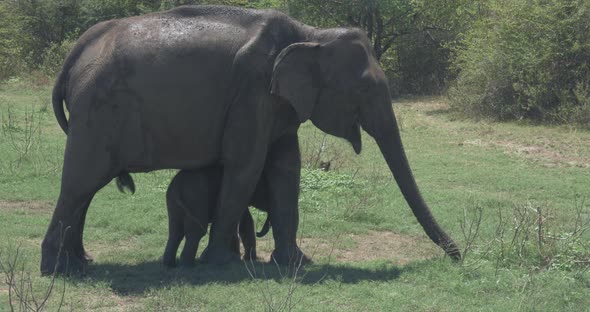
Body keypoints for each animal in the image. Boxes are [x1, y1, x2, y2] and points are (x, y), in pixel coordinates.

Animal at [42, 4, 462, 272]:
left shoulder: (277, 102)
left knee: (86, 189)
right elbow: (246, 165)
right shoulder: (252, 91)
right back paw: (59, 270)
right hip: (98, 111)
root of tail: (77, 52)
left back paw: (81, 262)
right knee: (79, 184)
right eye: (364, 90)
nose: (457, 257)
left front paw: (295, 263)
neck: (310, 34)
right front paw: (222, 264)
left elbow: (286, 169)